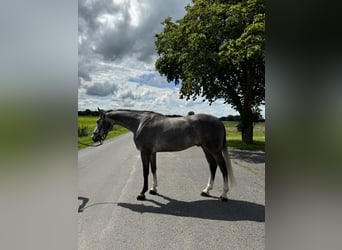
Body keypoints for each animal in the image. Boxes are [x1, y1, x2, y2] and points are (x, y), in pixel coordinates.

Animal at [92, 109, 235, 201]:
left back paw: (224, 195)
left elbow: (145, 172)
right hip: (206, 149)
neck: (141, 123)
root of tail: (219, 121)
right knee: (213, 166)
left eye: (98, 121)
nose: (94, 137)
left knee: (223, 168)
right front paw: (153, 189)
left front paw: (142, 193)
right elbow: (153, 169)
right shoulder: (152, 153)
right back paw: (206, 190)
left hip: (214, 150)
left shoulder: (145, 152)